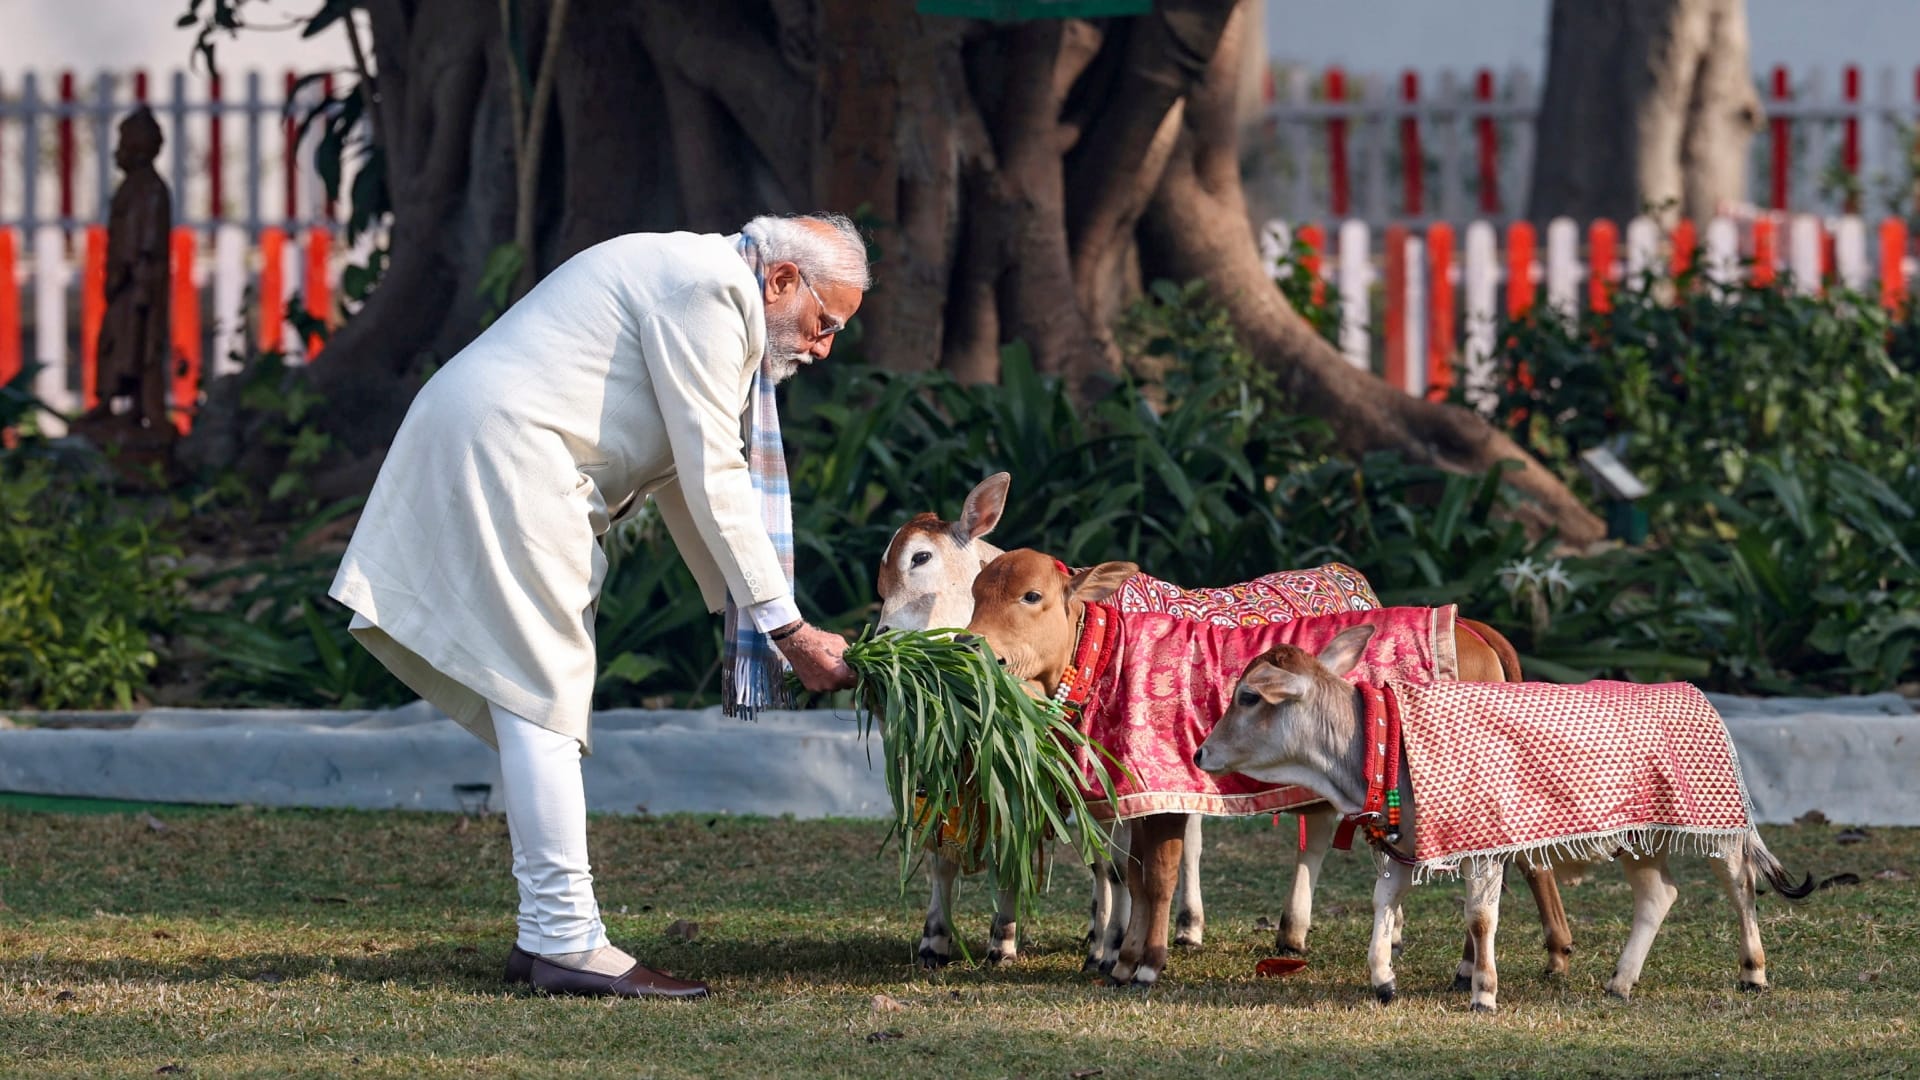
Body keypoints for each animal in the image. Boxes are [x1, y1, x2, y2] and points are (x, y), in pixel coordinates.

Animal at [876, 474, 1572, 980]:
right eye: (977, 592)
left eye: (921, 558)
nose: (878, 642)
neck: (1096, 646)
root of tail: (1470, 628)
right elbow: (1107, 864)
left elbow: (1130, 867)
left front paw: (1117, 954)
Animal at [1195, 624, 1815, 1010]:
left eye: (1249, 697)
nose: (1201, 753)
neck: (1378, 743)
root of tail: (1695, 693)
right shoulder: (1402, 846)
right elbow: (1382, 904)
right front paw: (1382, 979)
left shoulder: (1483, 846)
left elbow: (1479, 919)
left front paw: (1484, 991)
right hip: (1635, 835)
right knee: (1659, 895)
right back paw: (1620, 981)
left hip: (1721, 829)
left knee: (1740, 887)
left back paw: (1753, 970)